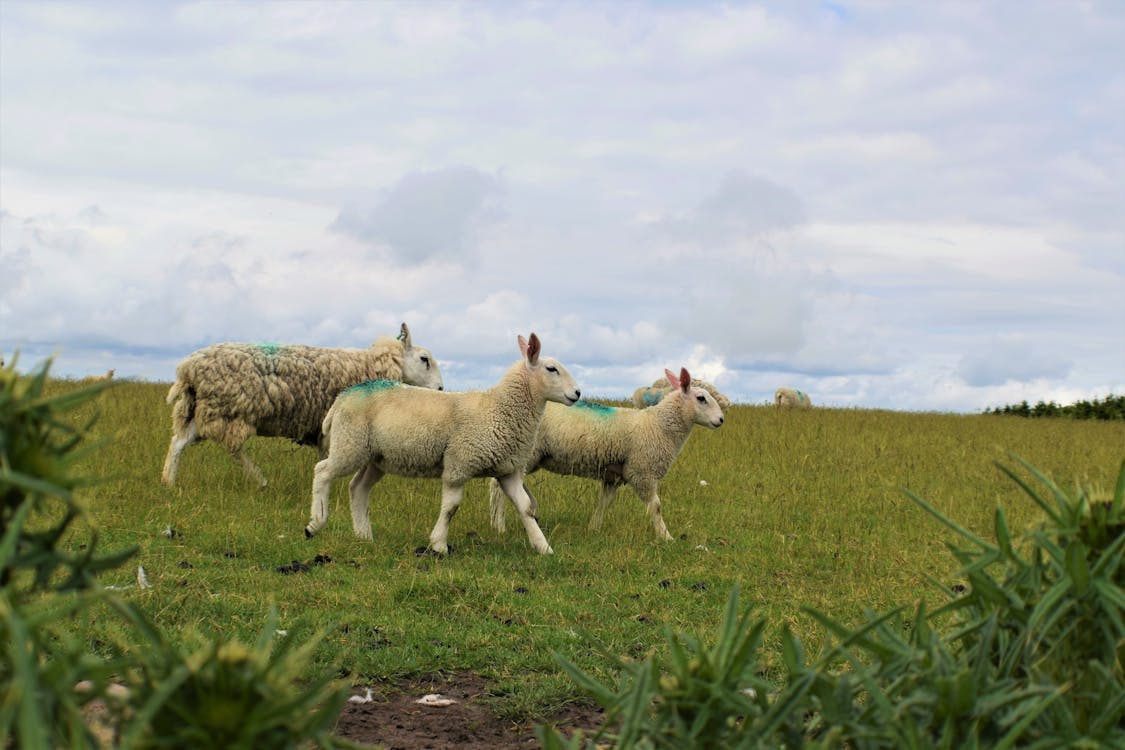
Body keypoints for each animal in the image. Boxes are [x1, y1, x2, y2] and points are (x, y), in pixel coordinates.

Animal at [163, 321, 443, 488]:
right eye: (424, 359)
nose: (441, 389)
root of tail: (188, 367)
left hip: (202, 408)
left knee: (179, 441)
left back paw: (168, 481)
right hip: (228, 409)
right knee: (231, 447)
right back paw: (260, 480)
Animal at [306, 330, 580, 555]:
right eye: (552, 369)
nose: (577, 393)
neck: (498, 409)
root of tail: (342, 397)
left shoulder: (508, 470)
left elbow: (526, 508)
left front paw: (543, 547)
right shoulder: (459, 463)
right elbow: (451, 507)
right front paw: (438, 545)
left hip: (376, 457)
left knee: (358, 488)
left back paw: (364, 535)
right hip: (349, 444)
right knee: (323, 471)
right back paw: (315, 524)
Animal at [490, 366, 720, 541]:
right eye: (701, 398)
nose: (721, 420)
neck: (659, 425)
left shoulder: (614, 476)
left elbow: (604, 502)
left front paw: (594, 527)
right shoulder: (642, 471)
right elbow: (655, 507)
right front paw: (666, 536)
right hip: (525, 454)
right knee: (499, 487)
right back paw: (499, 526)